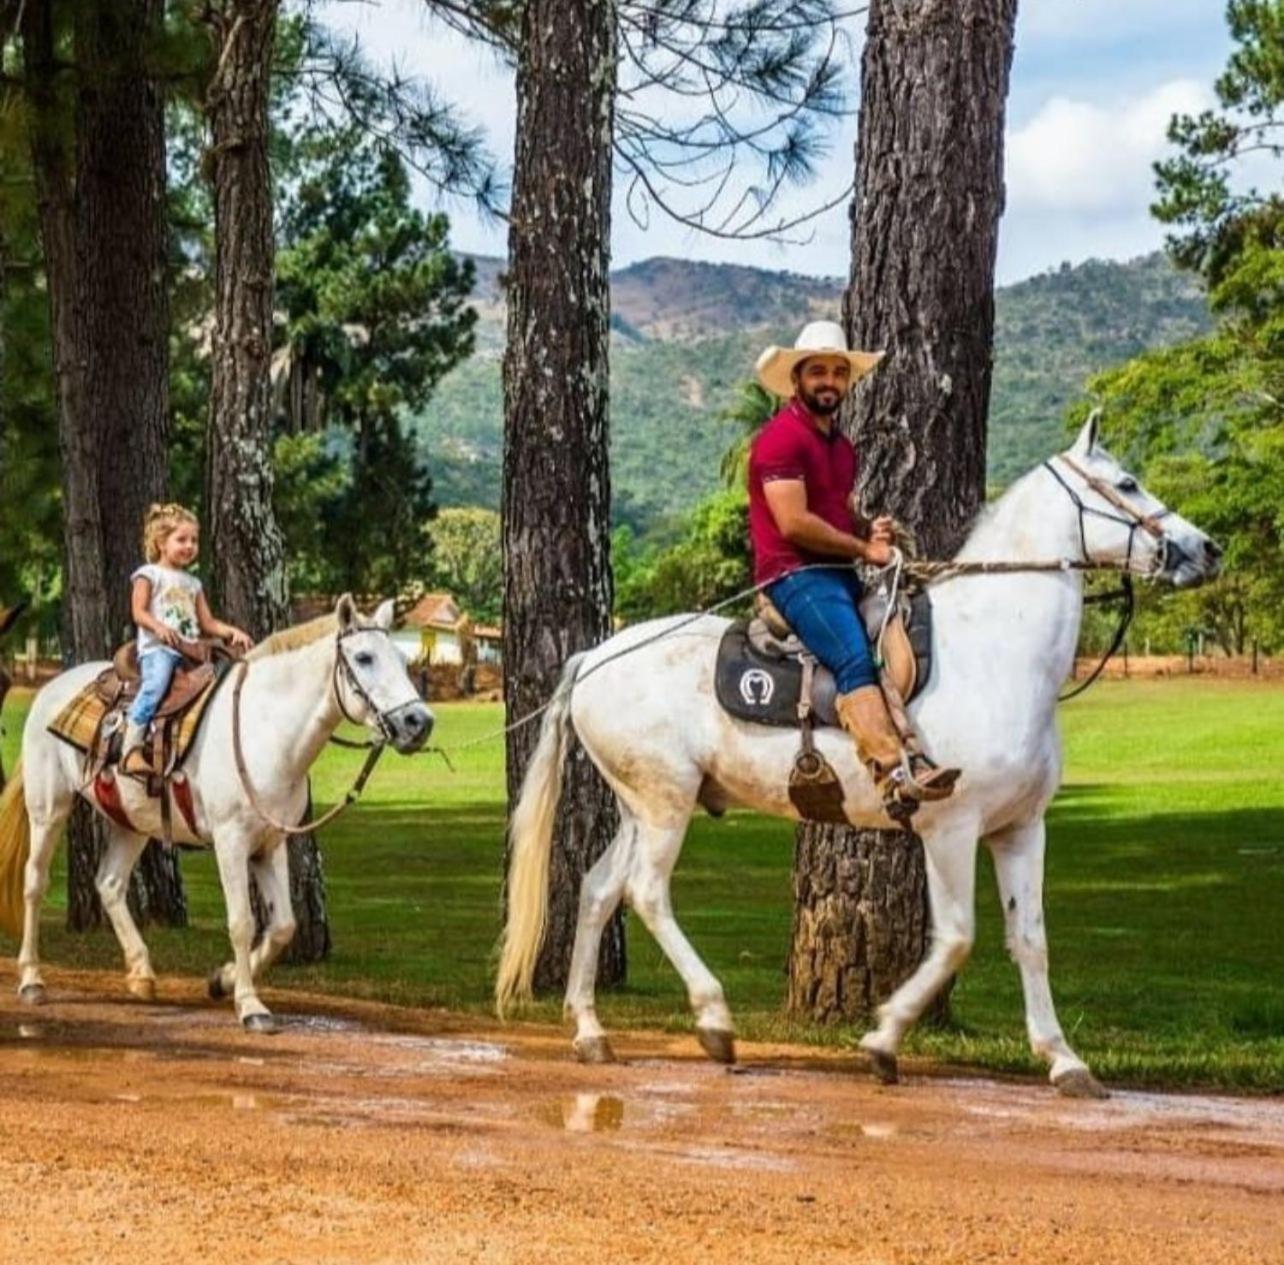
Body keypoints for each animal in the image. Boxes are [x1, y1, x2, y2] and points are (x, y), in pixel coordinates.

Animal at [0, 593, 431, 1027]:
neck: (266, 729)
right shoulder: (231, 841)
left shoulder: (271, 843)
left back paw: (141, 974)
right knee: (34, 882)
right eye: (364, 657)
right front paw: (250, 1004)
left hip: (132, 823)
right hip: (49, 808)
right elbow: (242, 922)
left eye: (402, 658)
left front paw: (222, 981)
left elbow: (283, 926)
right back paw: (32, 980)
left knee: (109, 883)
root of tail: (49, 691)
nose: (420, 722)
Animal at [495, 418, 1217, 1089]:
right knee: (645, 893)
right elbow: (957, 938)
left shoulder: (1020, 828)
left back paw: (591, 1031)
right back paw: (715, 1021)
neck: (995, 650)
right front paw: (883, 1038)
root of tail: (593, 657)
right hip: (666, 804)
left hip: (641, 807)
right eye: (1128, 483)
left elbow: (1030, 941)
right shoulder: (950, 827)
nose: (1205, 549)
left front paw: (1064, 1059)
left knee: (597, 890)